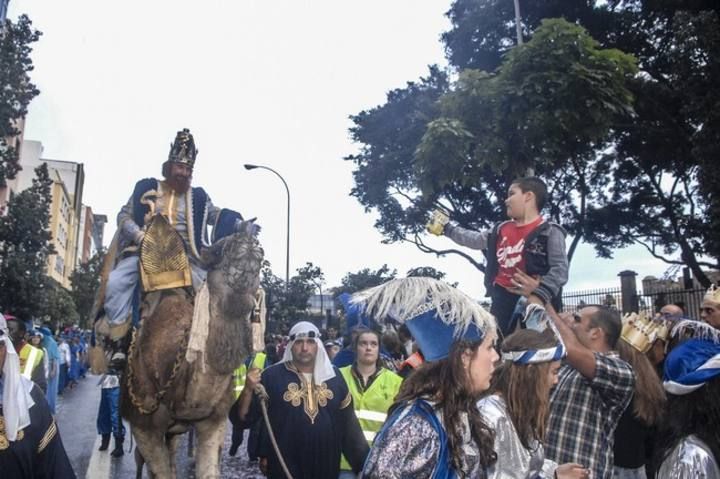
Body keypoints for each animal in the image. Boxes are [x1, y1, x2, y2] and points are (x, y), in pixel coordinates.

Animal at [121, 230, 264, 479]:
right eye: (218, 252)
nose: (248, 238)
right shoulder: (143, 426)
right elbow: (158, 471)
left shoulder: (213, 420)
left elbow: (207, 471)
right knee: (143, 460)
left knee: (172, 448)